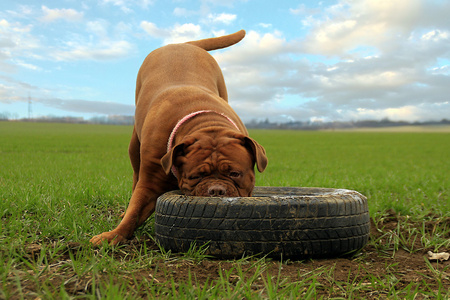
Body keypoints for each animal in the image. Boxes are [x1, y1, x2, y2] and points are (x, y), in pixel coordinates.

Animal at [89, 29, 268, 246]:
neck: (206, 122)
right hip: (134, 145)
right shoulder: (150, 183)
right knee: (135, 175)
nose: (216, 190)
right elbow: (134, 211)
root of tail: (182, 43)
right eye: (195, 176)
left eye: (235, 173)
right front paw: (113, 235)